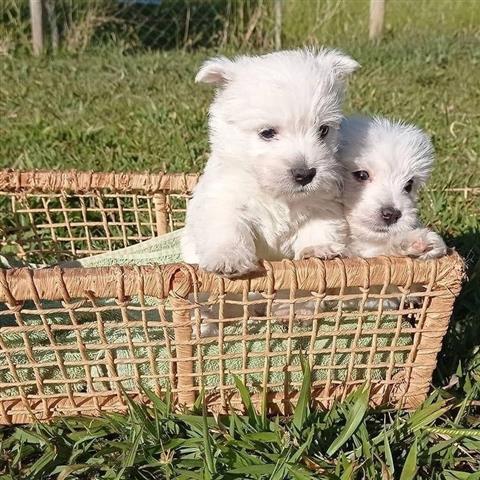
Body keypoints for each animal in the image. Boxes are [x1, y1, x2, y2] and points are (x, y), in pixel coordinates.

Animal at [182, 47, 358, 278]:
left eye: (323, 130)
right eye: (267, 133)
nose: (305, 174)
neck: (277, 194)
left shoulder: (323, 201)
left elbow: (320, 224)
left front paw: (319, 249)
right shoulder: (225, 199)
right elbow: (228, 228)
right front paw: (228, 258)